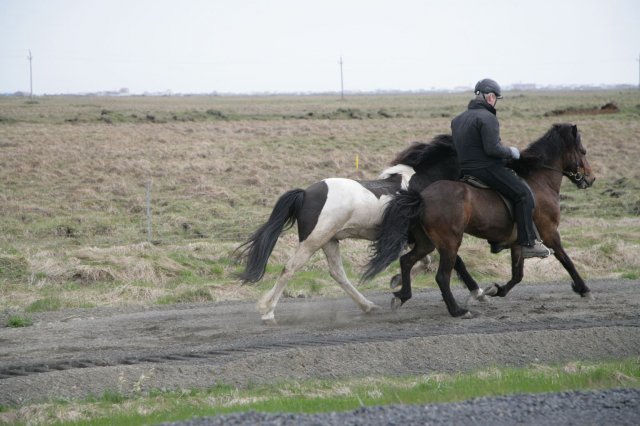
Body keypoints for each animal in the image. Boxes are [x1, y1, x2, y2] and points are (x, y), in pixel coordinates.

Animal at [235, 135, 464, 324]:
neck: (419, 183)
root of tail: (305, 194)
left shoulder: (409, 237)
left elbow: (424, 261)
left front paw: (396, 282)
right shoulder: (415, 236)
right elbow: (423, 260)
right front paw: (397, 287)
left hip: (329, 241)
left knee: (337, 273)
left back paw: (368, 306)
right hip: (313, 241)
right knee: (290, 268)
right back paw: (268, 313)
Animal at [362, 123, 596, 316]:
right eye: (583, 151)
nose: (591, 178)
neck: (539, 180)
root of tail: (421, 196)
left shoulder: (518, 241)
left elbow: (517, 274)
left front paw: (495, 290)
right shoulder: (549, 233)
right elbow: (566, 259)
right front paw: (584, 289)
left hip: (427, 242)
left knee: (407, 261)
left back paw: (402, 296)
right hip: (449, 241)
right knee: (441, 276)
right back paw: (457, 310)